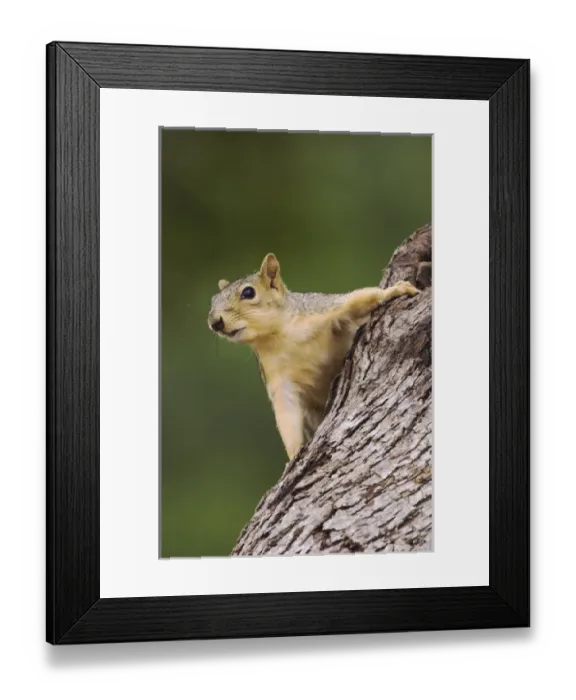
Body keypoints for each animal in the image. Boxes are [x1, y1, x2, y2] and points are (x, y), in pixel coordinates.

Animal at [208, 253, 419, 462]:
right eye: (213, 300)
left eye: (248, 293)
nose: (215, 322)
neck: (280, 336)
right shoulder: (278, 379)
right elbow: (286, 413)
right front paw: (293, 454)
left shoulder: (323, 310)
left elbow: (358, 299)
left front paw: (395, 290)